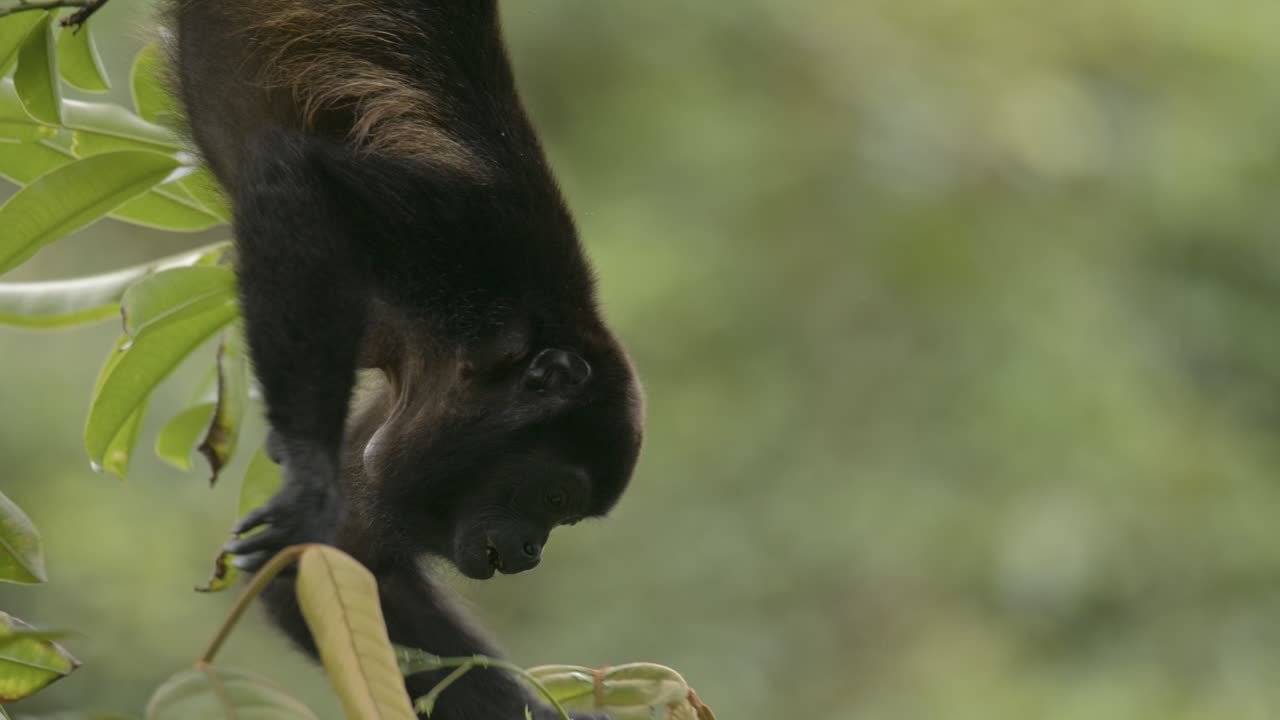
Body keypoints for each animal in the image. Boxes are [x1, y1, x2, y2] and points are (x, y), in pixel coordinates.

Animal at [170, 1, 644, 717]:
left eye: (565, 517)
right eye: (556, 496)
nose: (532, 553)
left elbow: (331, 564)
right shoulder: (481, 251)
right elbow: (300, 177)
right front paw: (307, 473)